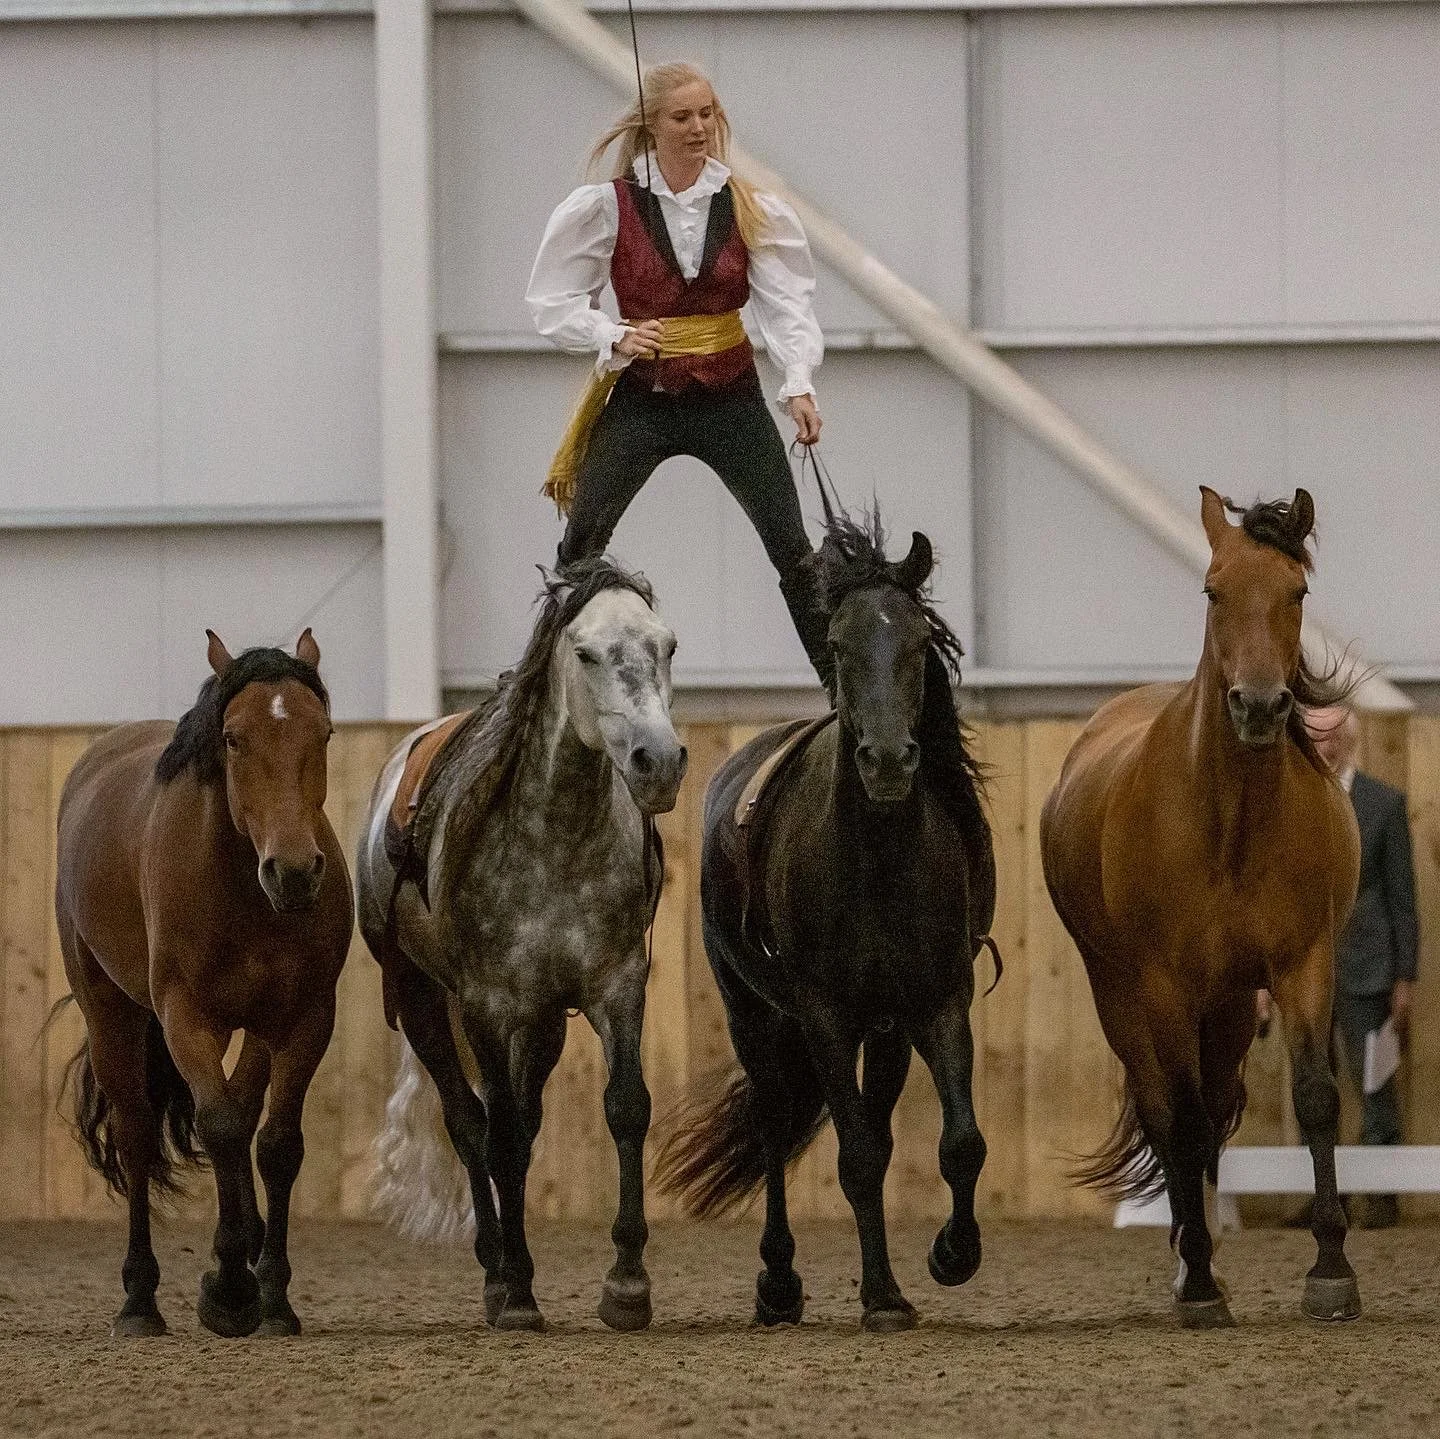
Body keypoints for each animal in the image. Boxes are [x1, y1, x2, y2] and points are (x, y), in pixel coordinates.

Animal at [53, 629, 353, 1338]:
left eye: (324, 732)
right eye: (234, 737)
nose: (294, 871)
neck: (244, 890)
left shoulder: (302, 1019)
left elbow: (274, 1144)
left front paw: (269, 1295)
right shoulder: (186, 1017)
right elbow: (217, 1126)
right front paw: (233, 1289)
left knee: (242, 1118)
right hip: (110, 1012)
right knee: (136, 1137)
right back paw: (140, 1301)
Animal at [357, 557, 687, 1332]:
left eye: (666, 646)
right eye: (586, 653)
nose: (658, 761)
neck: (558, 837)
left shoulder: (616, 985)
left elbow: (626, 1107)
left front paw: (627, 1283)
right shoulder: (488, 1003)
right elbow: (498, 1133)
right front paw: (518, 1289)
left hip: (541, 1024)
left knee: (523, 1123)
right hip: (422, 1000)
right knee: (469, 1121)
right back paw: (496, 1270)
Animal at [655, 506, 997, 1332]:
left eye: (917, 642)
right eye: (838, 643)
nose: (888, 761)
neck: (874, 858)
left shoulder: (937, 1002)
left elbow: (959, 1142)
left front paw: (951, 1254)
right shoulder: (825, 1015)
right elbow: (858, 1157)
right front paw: (882, 1297)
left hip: (887, 1029)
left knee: (872, 1119)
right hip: (755, 1016)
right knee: (777, 1122)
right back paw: (778, 1281)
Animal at [1040, 487, 1362, 1328]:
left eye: (1297, 592)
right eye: (1213, 590)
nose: (1259, 705)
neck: (1233, 825)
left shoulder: (1302, 965)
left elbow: (1315, 1099)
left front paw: (1332, 1268)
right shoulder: (1162, 986)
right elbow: (1180, 1123)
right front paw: (1203, 1281)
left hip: (1228, 1005)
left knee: (1213, 1110)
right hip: (1125, 997)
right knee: (1167, 1115)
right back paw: (1192, 1265)